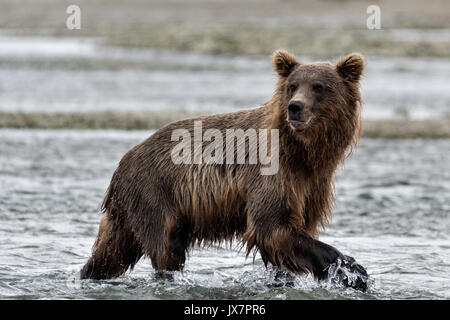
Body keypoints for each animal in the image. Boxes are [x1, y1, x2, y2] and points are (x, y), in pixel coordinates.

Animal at [80, 49, 370, 290]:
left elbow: (291, 233)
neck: (304, 153)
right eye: (293, 86)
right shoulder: (273, 174)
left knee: (112, 250)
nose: (295, 107)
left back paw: (90, 275)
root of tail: (121, 165)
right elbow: (273, 225)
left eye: (319, 87)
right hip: (155, 193)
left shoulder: (312, 185)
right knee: (166, 247)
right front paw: (354, 272)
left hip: (128, 213)